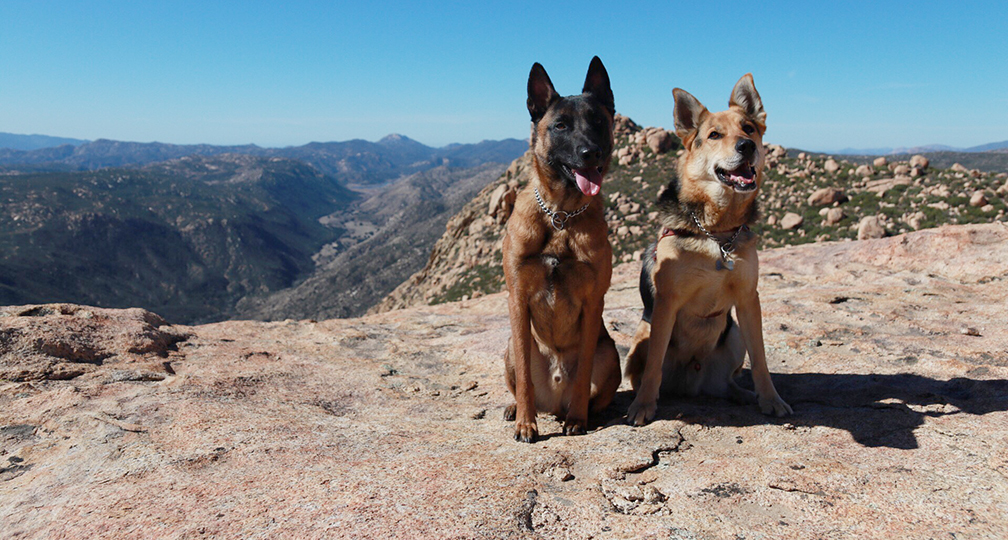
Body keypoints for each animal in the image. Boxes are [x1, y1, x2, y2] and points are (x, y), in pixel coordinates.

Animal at [504, 55, 620, 443]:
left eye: (598, 121)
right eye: (560, 126)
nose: (591, 152)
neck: (561, 216)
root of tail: (554, 400)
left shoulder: (593, 302)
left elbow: (583, 372)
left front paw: (579, 419)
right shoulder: (517, 299)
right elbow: (525, 379)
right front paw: (526, 423)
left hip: (610, 353)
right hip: (509, 346)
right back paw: (515, 409)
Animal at [620, 72, 794, 425]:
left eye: (749, 128)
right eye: (714, 135)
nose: (746, 146)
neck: (716, 234)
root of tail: (690, 386)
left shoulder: (748, 300)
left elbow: (761, 360)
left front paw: (771, 400)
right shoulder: (666, 303)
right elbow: (653, 366)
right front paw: (643, 407)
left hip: (734, 333)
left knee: (726, 383)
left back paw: (742, 394)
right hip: (642, 334)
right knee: (647, 370)